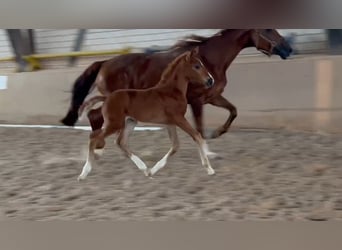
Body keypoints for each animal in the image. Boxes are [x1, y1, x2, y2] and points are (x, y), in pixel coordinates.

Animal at [78, 47, 214, 181]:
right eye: (197, 66)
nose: (210, 80)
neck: (171, 91)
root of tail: (106, 98)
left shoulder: (170, 122)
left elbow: (175, 146)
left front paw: (152, 171)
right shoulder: (178, 118)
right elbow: (197, 136)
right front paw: (209, 168)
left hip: (130, 121)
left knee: (120, 142)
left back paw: (144, 169)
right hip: (115, 123)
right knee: (94, 138)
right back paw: (84, 173)